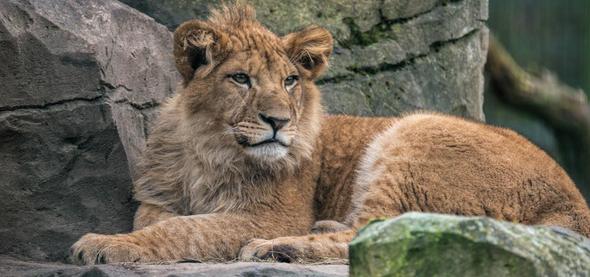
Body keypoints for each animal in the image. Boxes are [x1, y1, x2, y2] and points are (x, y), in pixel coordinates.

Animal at [70, 3, 590, 264]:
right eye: (240, 79)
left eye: (289, 81)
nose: (279, 121)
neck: (207, 152)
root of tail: (574, 204)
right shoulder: (156, 200)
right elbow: (160, 223)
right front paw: (124, 240)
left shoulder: (271, 214)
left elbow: (186, 230)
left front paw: (105, 245)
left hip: (415, 132)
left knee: (379, 234)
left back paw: (278, 248)